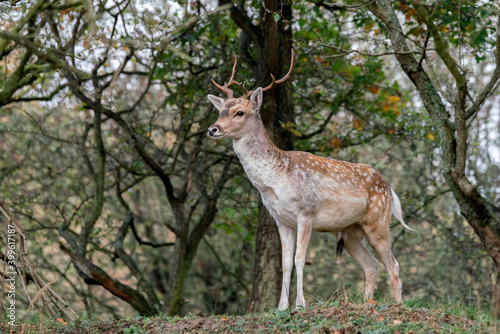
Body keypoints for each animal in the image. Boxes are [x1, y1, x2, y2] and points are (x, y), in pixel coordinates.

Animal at [207, 51, 414, 312]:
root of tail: (390, 189)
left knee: (393, 264)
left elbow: (300, 258)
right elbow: (285, 262)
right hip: (351, 232)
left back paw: (398, 306)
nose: (212, 129)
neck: (275, 181)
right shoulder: (280, 219)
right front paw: (281, 307)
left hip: (378, 221)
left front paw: (300, 305)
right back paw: (367, 304)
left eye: (239, 112)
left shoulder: (306, 212)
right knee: (372, 264)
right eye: (220, 110)